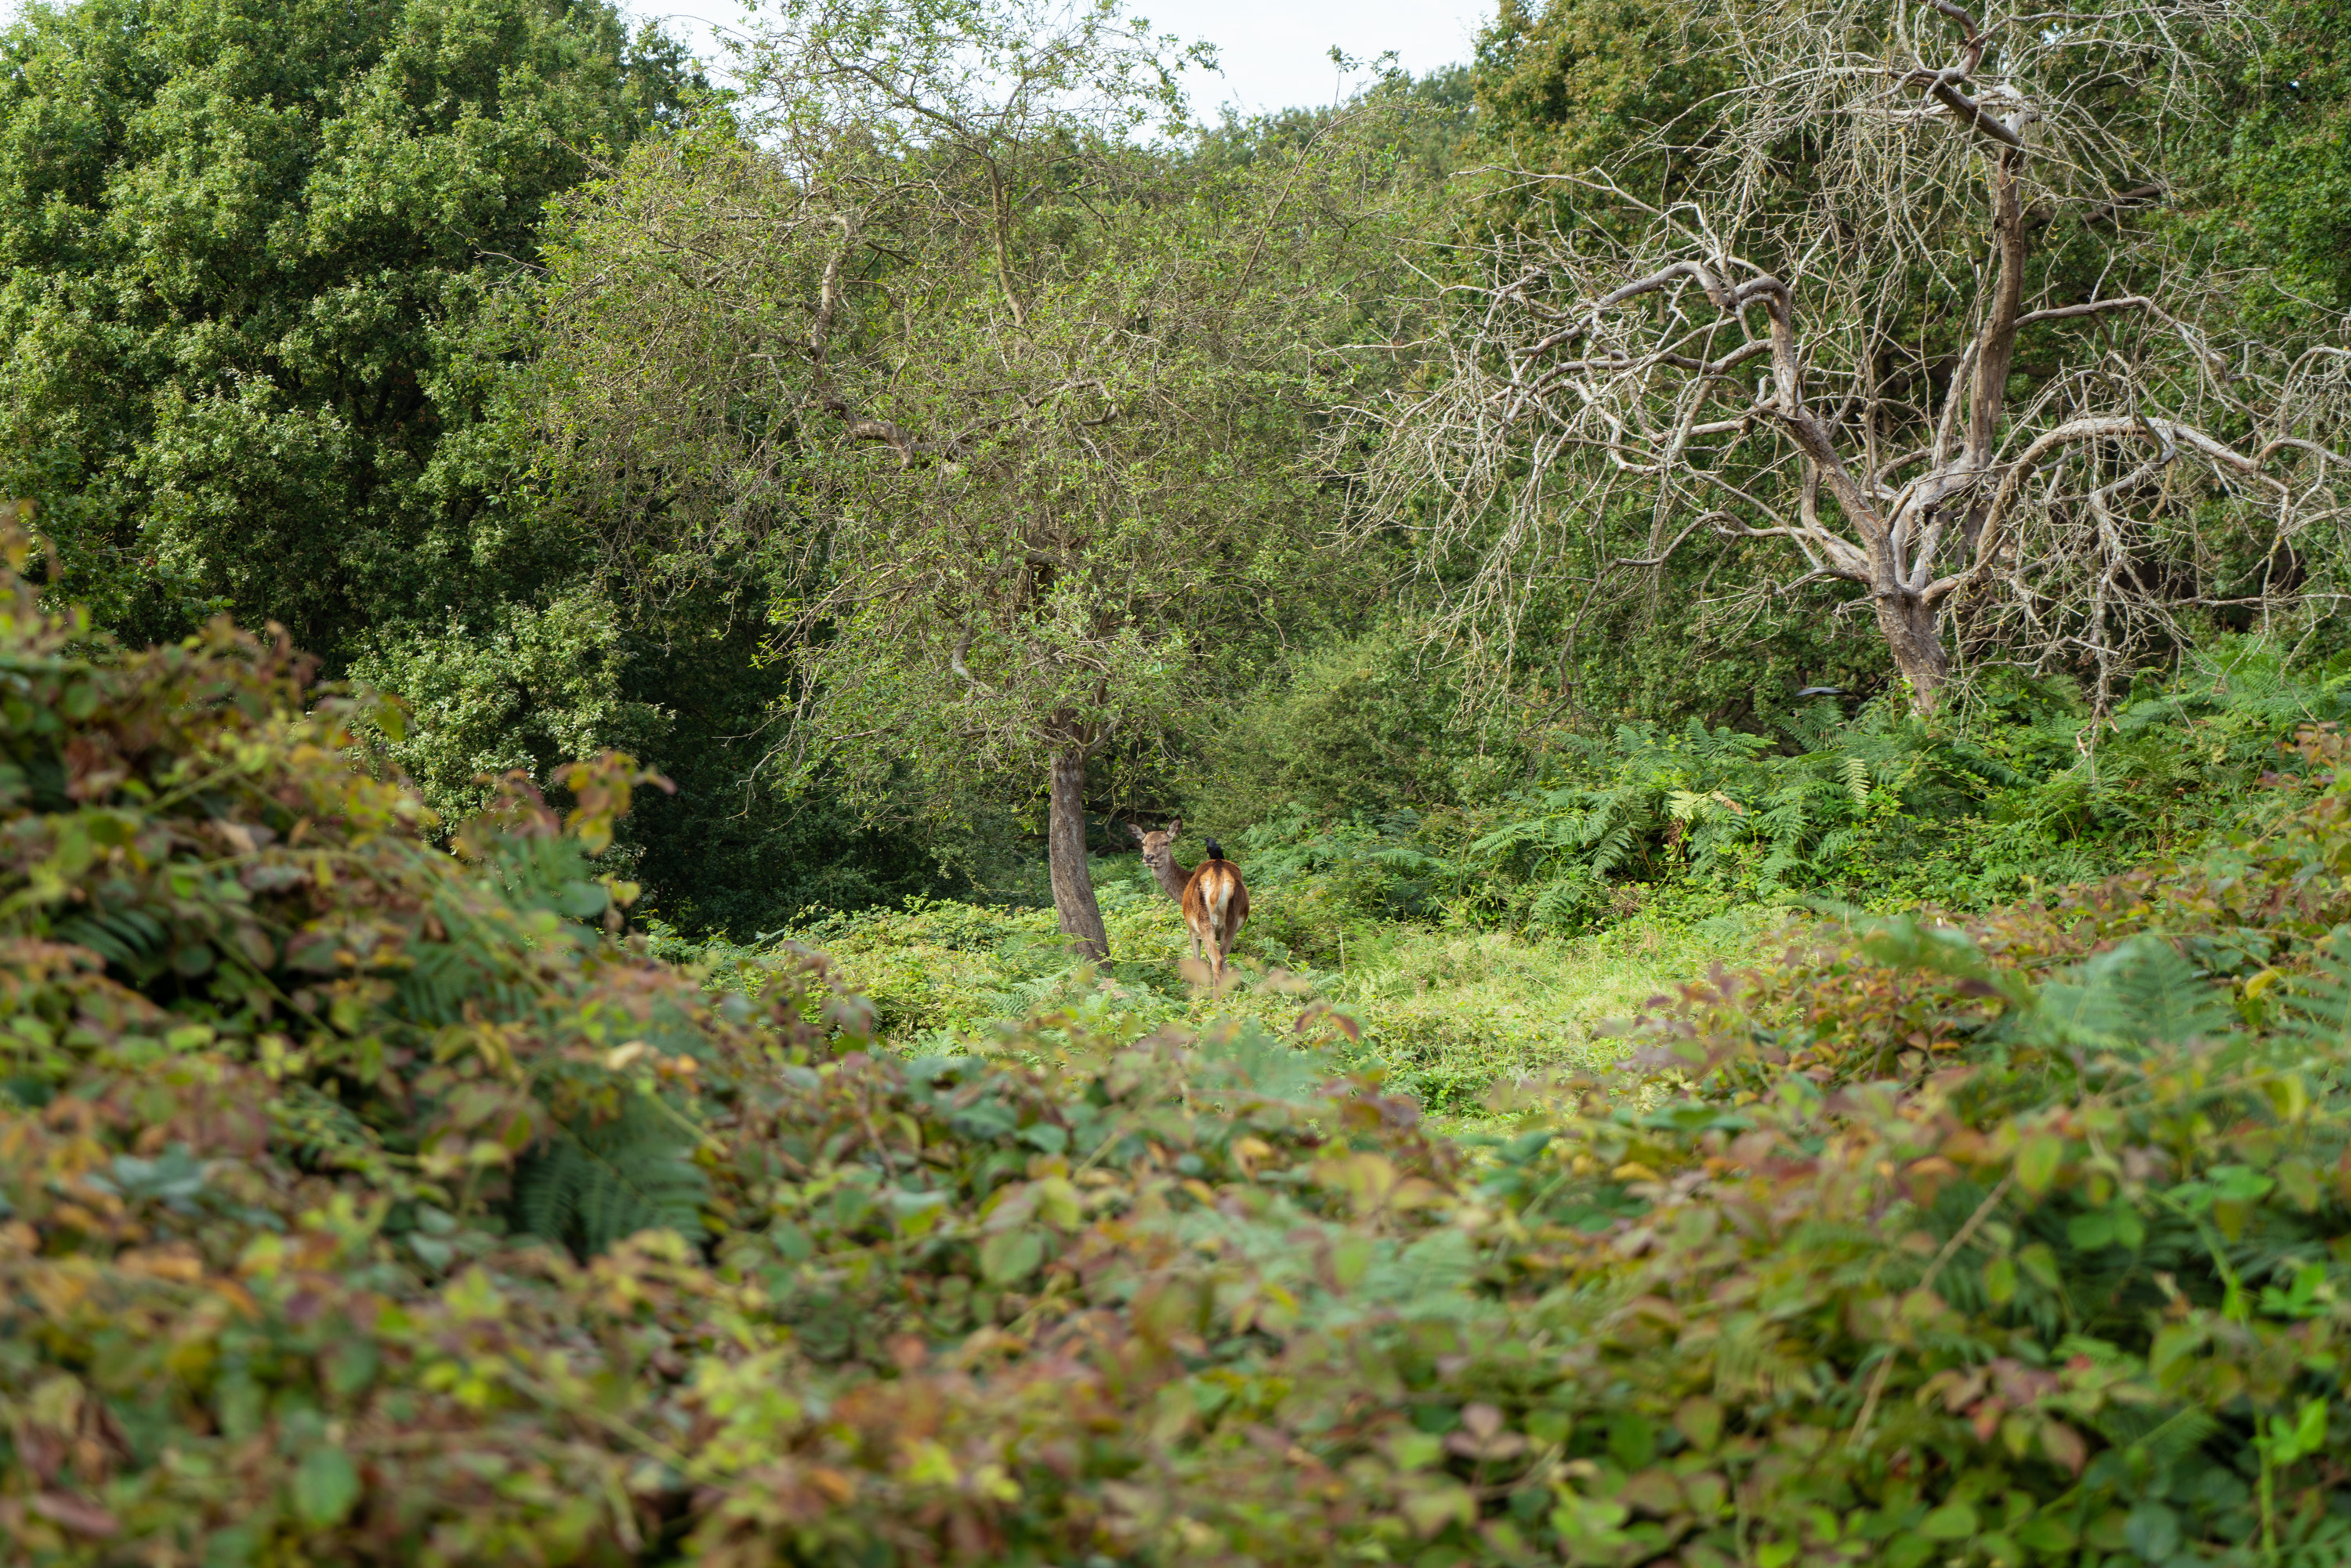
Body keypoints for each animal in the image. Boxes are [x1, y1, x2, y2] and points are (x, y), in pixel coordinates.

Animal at [1124, 823, 1241, 992]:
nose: (1149, 857)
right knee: (1224, 960)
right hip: (1231, 922)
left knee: (1216, 959)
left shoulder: (1192, 930)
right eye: (1143, 843)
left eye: (1166, 843)